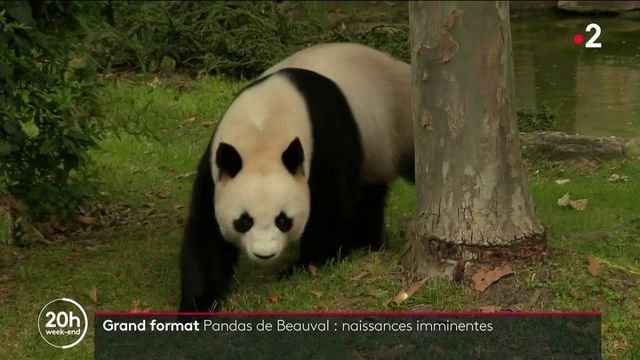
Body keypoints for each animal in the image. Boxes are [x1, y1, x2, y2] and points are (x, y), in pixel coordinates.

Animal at [179, 43, 410, 312]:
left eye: (283, 220)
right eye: (244, 221)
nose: (264, 254)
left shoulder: (325, 140)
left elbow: (330, 209)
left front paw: (305, 264)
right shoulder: (216, 167)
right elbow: (206, 231)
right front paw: (199, 302)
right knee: (369, 196)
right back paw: (370, 242)